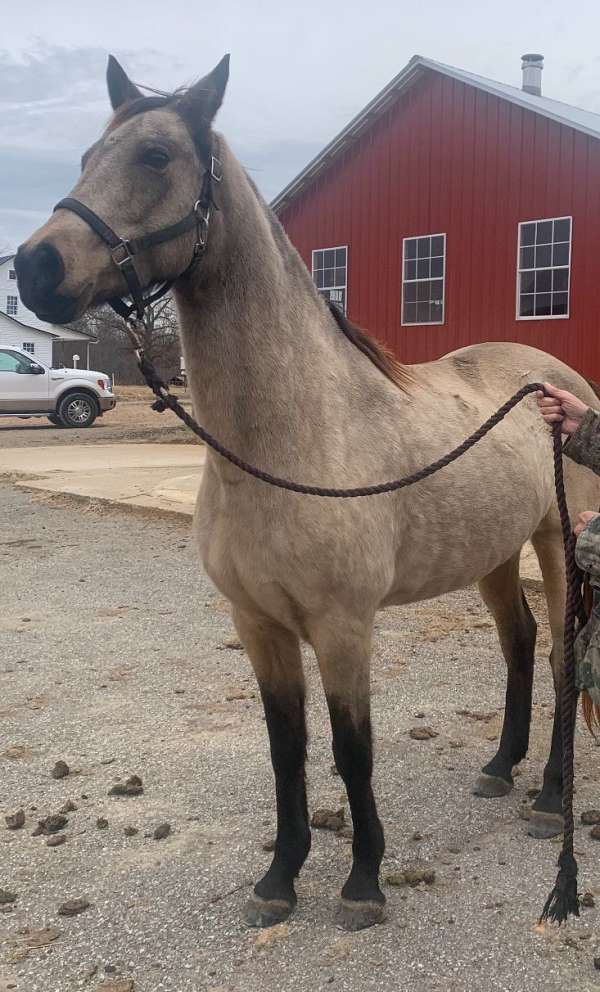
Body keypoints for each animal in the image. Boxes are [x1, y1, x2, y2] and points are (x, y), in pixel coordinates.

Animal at [14, 58, 600, 932]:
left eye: (155, 155)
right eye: (88, 154)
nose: (34, 269)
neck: (290, 442)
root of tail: (560, 386)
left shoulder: (342, 626)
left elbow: (352, 748)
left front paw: (362, 882)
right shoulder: (258, 624)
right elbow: (285, 747)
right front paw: (281, 878)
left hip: (559, 542)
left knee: (563, 655)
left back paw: (550, 798)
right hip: (494, 552)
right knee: (521, 642)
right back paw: (501, 766)